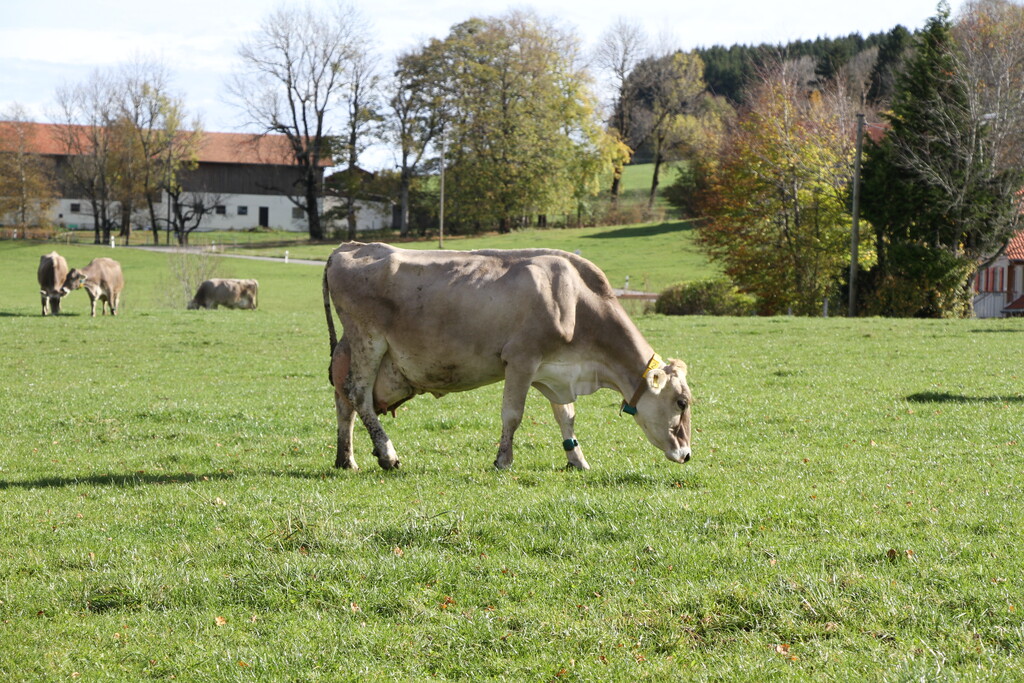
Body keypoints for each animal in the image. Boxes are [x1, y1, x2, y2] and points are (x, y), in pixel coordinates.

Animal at [322, 242, 693, 471]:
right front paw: (503, 460)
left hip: (349, 350)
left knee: (344, 402)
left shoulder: (554, 370)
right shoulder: (521, 360)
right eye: (682, 402)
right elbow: (512, 415)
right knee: (358, 394)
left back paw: (346, 459)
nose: (687, 454)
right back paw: (387, 454)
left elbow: (566, 416)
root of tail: (350, 247)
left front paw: (577, 460)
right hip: (368, 340)